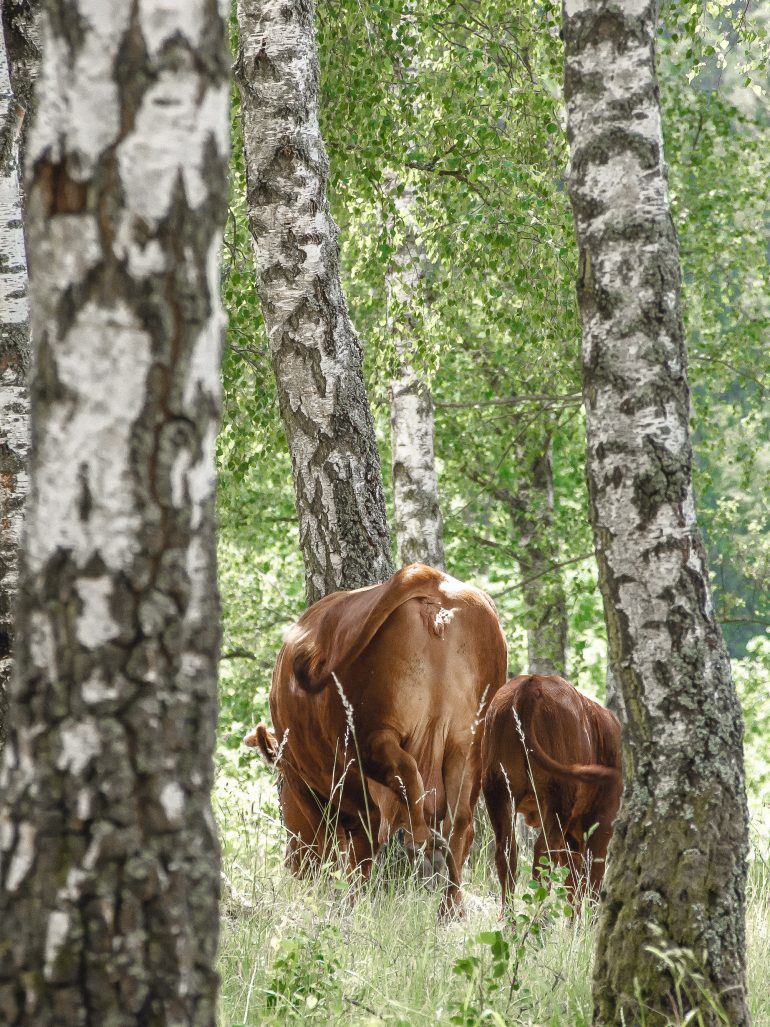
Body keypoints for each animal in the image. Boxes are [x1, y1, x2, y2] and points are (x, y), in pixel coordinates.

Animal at [247, 562, 509, 916]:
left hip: (369, 737)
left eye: (281, 791)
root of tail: (429, 578)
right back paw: (449, 905)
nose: (293, 865)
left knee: (405, 781)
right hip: (468, 743)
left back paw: (420, 847)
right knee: (460, 823)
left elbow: (351, 852)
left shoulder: (318, 794)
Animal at [484, 673, 624, 907]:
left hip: (498, 790)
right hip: (559, 798)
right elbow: (591, 883)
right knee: (544, 853)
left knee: (507, 852)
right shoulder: (602, 823)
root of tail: (532, 683)